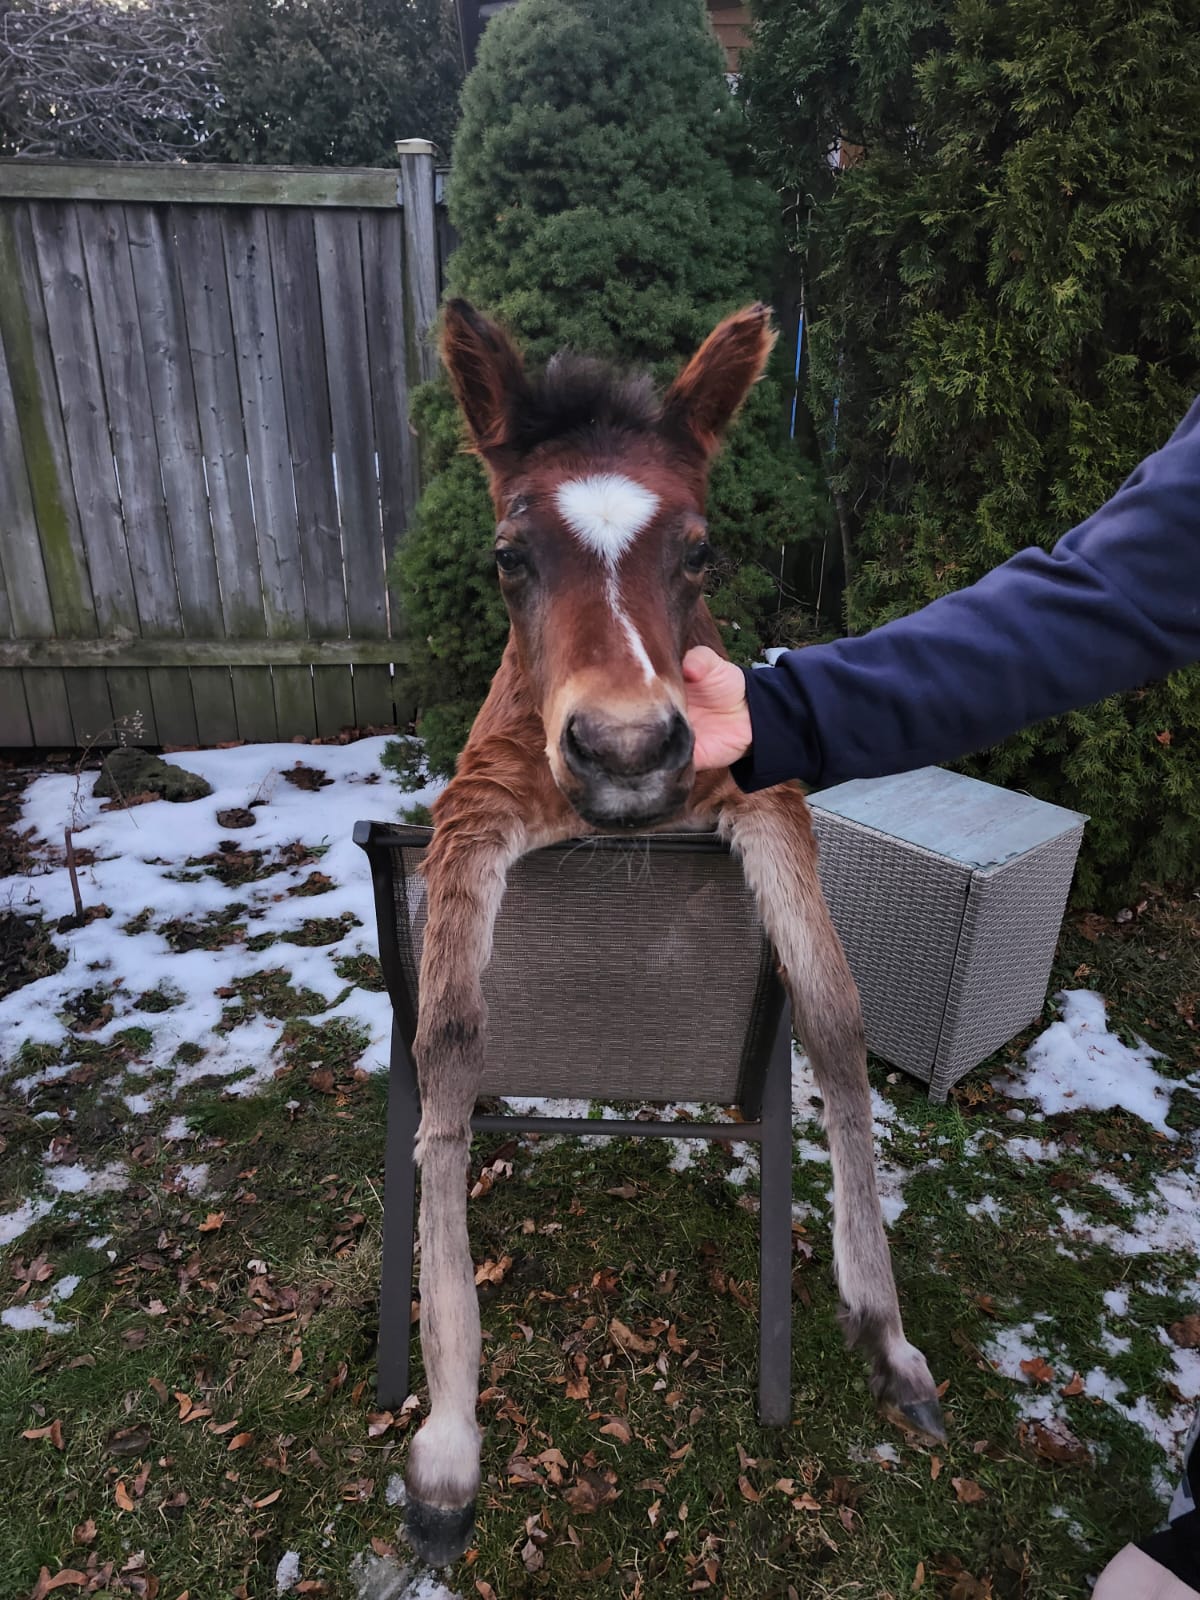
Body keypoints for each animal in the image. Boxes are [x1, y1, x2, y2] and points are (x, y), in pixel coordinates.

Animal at [403, 298, 944, 1565]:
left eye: (699, 553)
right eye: (509, 555)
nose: (626, 750)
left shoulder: (759, 786)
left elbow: (835, 1016)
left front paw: (887, 1334)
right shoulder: (477, 801)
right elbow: (448, 1045)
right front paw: (448, 1439)